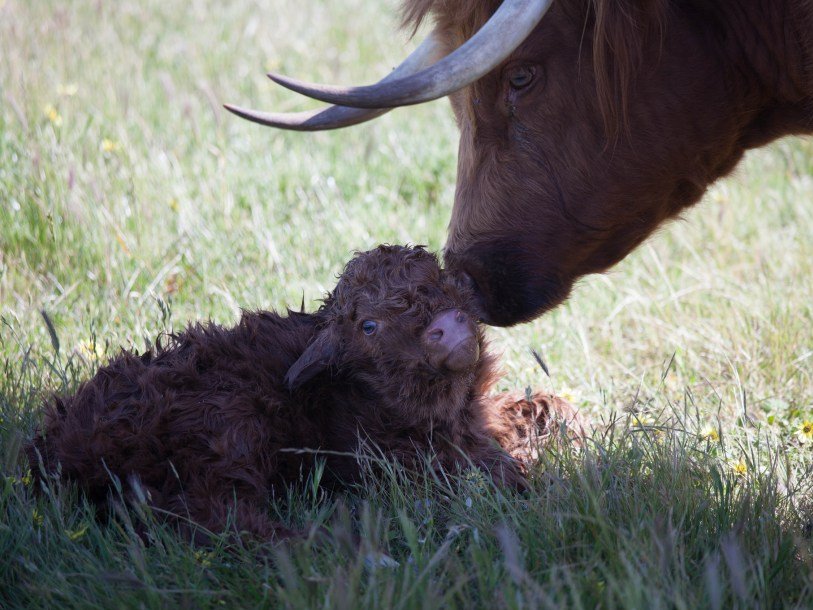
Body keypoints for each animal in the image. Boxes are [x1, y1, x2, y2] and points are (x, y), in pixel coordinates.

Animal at [27, 245, 584, 540]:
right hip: (224, 428)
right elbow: (492, 474)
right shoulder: (402, 464)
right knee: (218, 517)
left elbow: (539, 409)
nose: (450, 326)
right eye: (368, 325)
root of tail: (58, 449)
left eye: (444, 284)